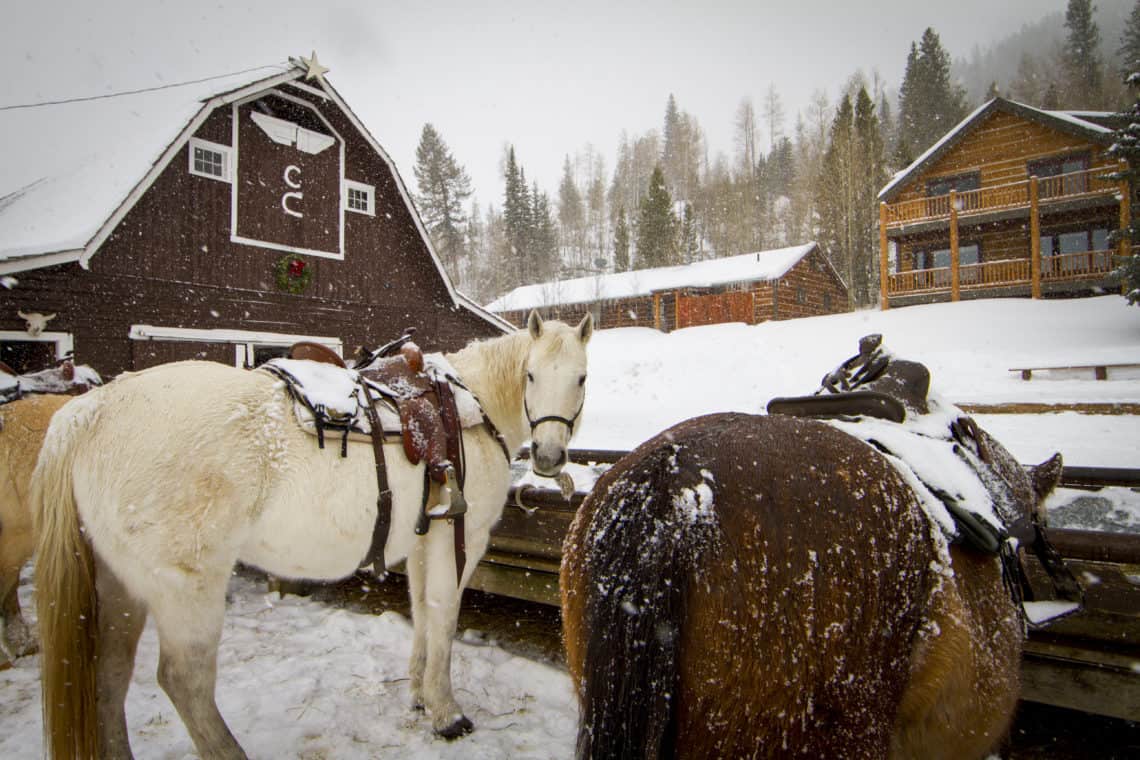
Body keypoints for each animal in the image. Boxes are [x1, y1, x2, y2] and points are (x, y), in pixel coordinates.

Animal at [31, 312, 592, 756]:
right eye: (531, 374)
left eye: (582, 378)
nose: (548, 457)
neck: (473, 405)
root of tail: (90, 411)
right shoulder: (460, 540)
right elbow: (444, 618)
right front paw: (445, 712)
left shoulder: (421, 541)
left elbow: (422, 616)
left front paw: (417, 694)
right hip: (186, 588)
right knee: (184, 682)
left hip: (119, 584)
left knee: (108, 676)